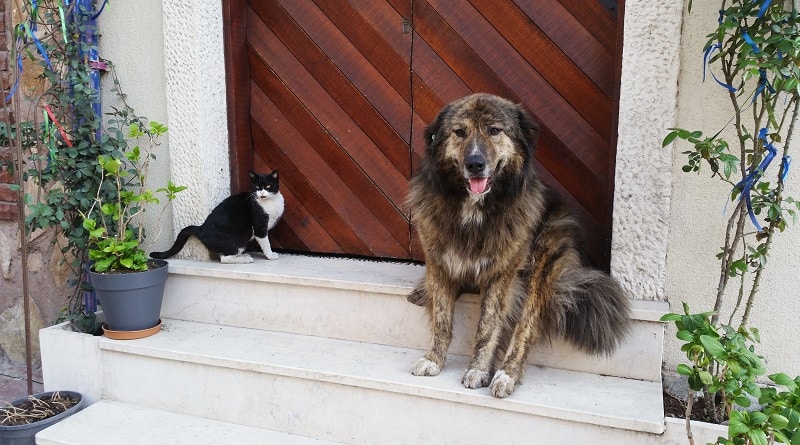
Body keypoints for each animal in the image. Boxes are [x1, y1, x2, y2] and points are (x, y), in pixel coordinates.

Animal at [152, 169, 286, 260]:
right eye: (257, 187)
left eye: (268, 186)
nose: (261, 193)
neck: (270, 202)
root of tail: (201, 228)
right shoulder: (259, 226)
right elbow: (265, 242)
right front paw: (271, 255)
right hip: (238, 240)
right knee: (225, 258)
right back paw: (245, 258)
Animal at [410, 92, 628, 398]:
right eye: (460, 132)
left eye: (494, 130)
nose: (475, 164)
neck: (473, 210)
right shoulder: (439, 263)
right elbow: (442, 319)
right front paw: (433, 359)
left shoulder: (502, 274)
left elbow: (488, 327)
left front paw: (478, 370)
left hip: (544, 255)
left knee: (526, 327)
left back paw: (506, 374)